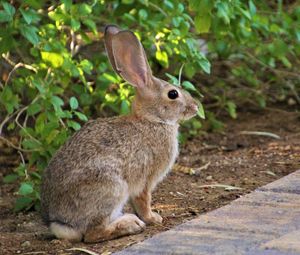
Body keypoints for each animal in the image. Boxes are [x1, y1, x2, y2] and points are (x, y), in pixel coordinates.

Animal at [40, 24, 199, 243]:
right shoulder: (145, 179)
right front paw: (153, 218)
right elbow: (143, 200)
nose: (196, 107)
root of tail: (61, 223)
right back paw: (130, 225)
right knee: (92, 234)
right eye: (173, 94)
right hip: (112, 187)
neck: (152, 120)